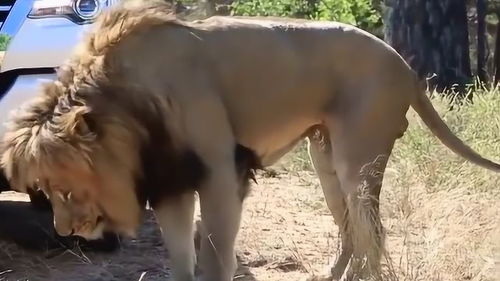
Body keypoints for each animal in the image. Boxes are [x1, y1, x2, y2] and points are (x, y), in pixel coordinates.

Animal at [0, 0, 500, 280]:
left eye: (62, 187)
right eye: (43, 190)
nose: (65, 231)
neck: (127, 100)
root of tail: (404, 63)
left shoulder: (221, 171)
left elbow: (215, 258)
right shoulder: (171, 182)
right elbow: (180, 261)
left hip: (358, 155)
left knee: (373, 232)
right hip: (324, 155)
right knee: (351, 230)